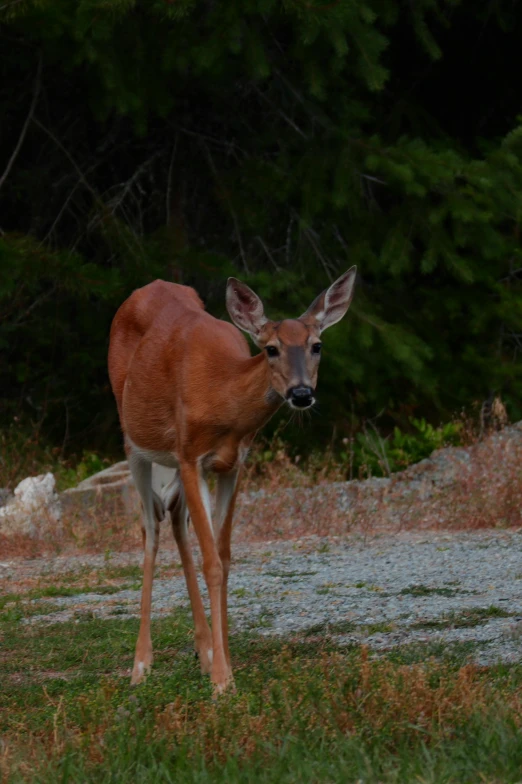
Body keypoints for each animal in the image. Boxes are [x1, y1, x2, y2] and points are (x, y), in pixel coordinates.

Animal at [107, 266, 356, 696]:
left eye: (317, 345)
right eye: (271, 348)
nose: (301, 393)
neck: (222, 396)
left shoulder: (232, 465)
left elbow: (223, 557)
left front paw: (223, 662)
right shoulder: (190, 455)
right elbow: (211, 562)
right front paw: (223, 682)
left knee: (175, 517)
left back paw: (204, 649)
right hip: (133, 439)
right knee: (150, 529)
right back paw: (141, 664)